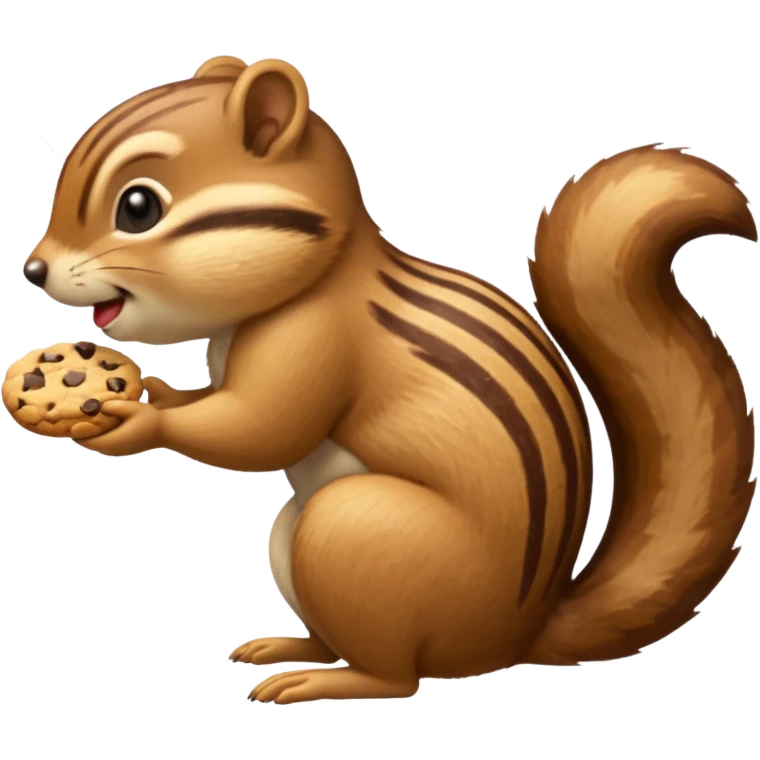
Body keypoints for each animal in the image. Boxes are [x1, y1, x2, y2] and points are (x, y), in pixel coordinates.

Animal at [25, 56, 758, 704]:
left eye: (138, 207)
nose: (33, 269)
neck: (323, 269)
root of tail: (517, 637)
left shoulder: (317, 341)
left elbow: (261, 429)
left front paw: (138, 419)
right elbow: (224, 410)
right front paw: (158, 391)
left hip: (354, 532)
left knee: (398, 678)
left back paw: (324, 682)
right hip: (296, 541)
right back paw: (293, 646)